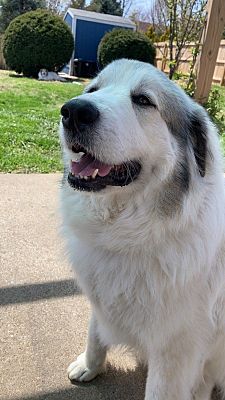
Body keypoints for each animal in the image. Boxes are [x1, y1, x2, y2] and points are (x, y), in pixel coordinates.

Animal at [60, 59, 225, 400]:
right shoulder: (102, 298)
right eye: (93, 90)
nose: (74, 111)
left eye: (143, 100)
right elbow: (95, 334)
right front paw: (89, 366)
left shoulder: (173, 351)